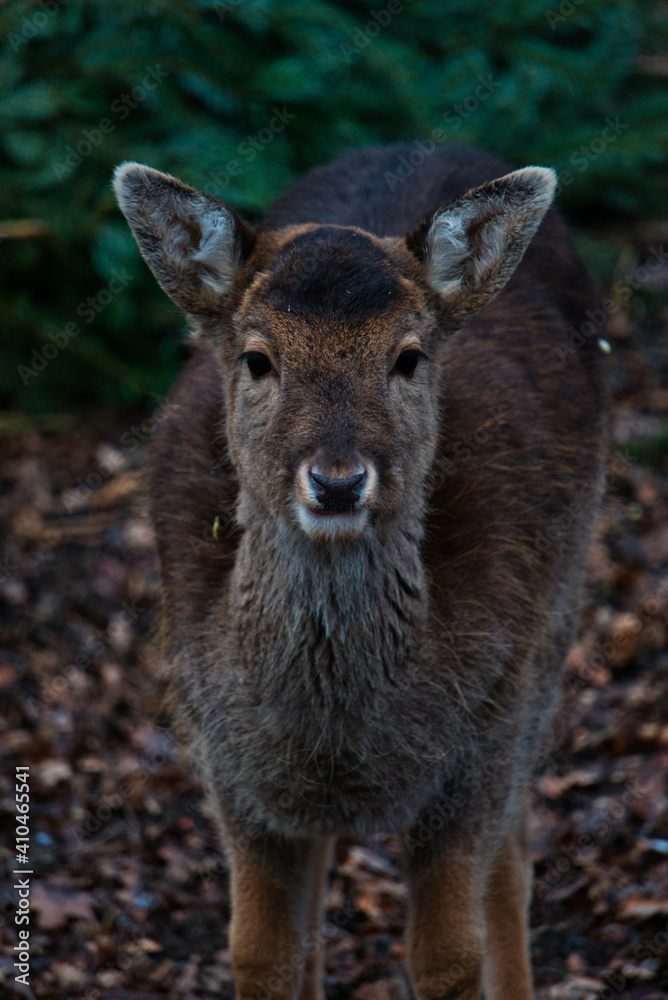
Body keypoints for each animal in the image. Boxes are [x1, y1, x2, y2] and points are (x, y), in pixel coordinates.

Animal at [113, 142, 608, 1000]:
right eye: (257, 358)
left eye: (406, 357)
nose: (338, 482)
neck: (342, 742)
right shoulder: (229, 764)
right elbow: (261, 951)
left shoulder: (481, 743)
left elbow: (449, 955)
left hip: (550, 636)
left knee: (515, 853)